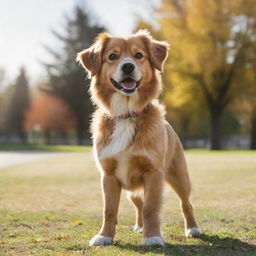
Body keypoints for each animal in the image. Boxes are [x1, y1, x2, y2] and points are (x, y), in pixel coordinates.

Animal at [77, 29, 201, 246]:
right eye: (112, 56)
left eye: (138, 55)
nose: (128, 66)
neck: (127, 114)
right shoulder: (108, 175)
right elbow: (109, 210)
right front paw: (104, 236)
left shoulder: (153, 173)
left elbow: (151, 208)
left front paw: (152, 237)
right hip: (133, 190)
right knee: (138, 203)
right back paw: (140, 226)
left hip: (180, 178)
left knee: (186, 203)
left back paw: (192, 228)